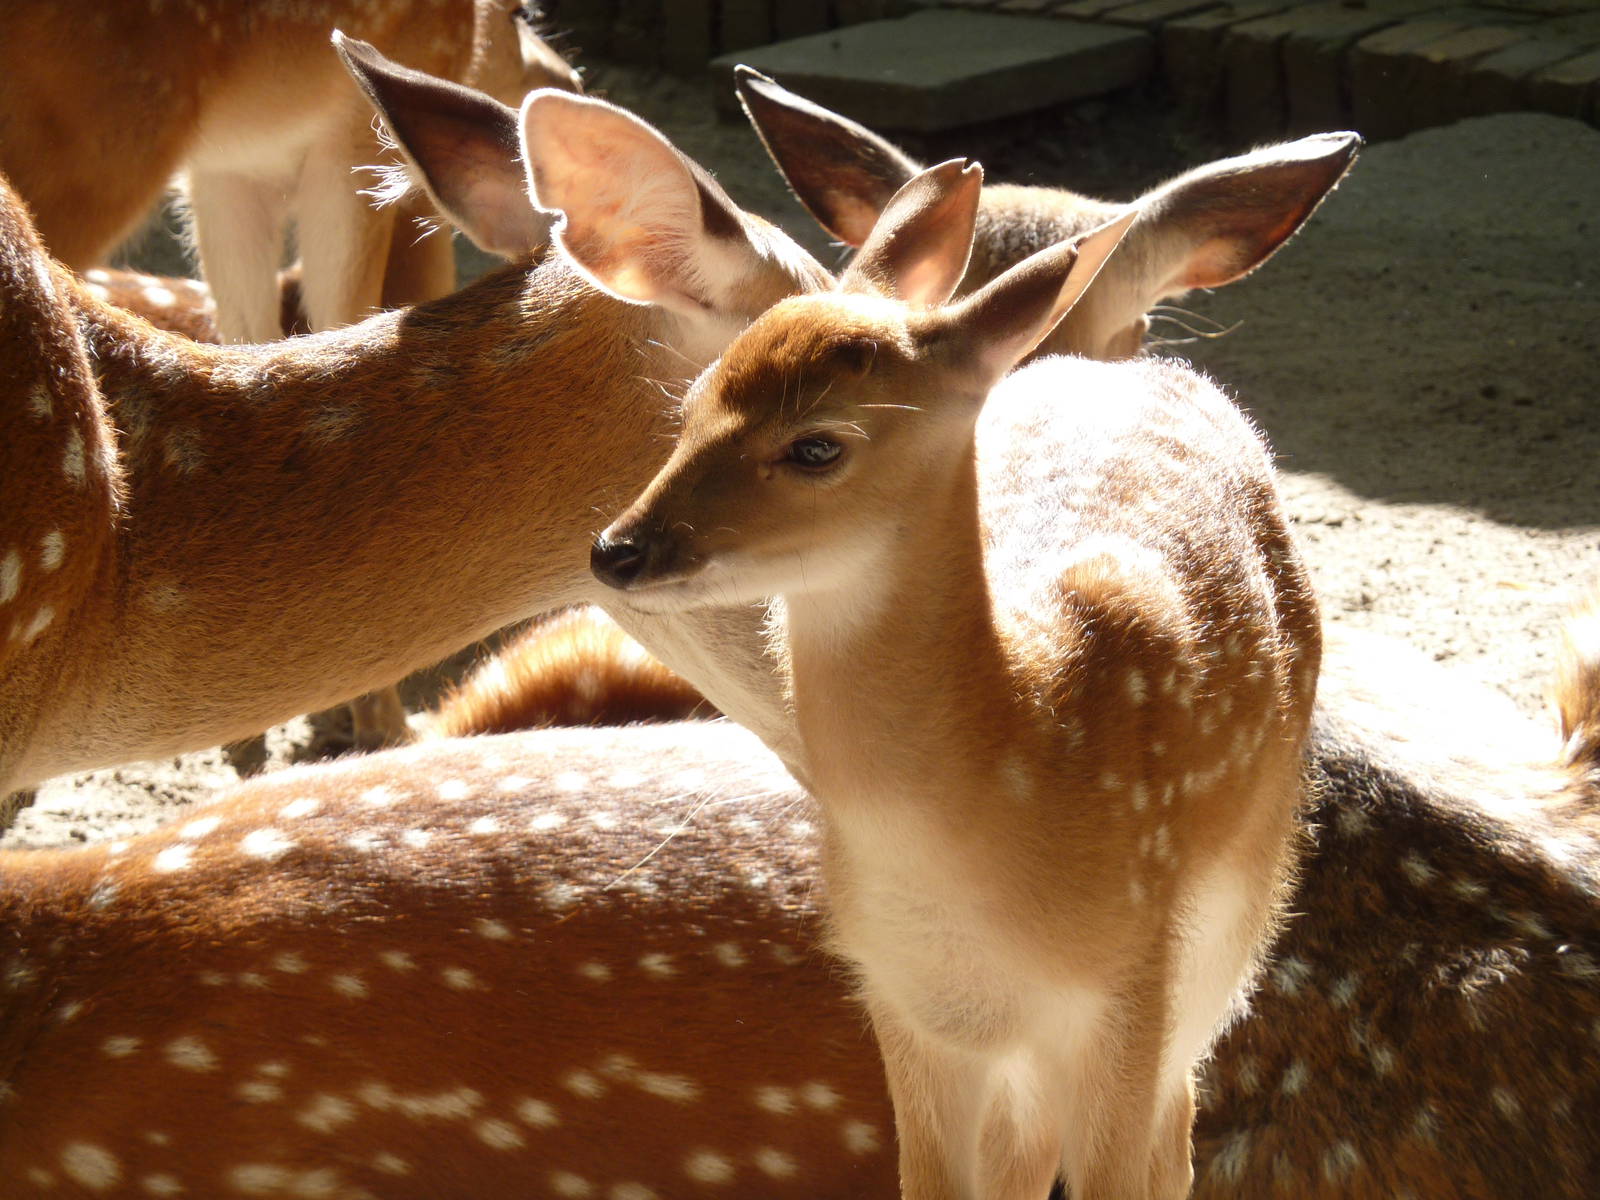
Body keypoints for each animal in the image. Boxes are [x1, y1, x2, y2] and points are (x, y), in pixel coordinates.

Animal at [583, 154, 1321, 1197]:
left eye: (818, 444)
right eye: (688, 407)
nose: (617, 550)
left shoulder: (1129, 983)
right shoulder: (902, 999)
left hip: (1232, 919)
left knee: (1174, 1127)